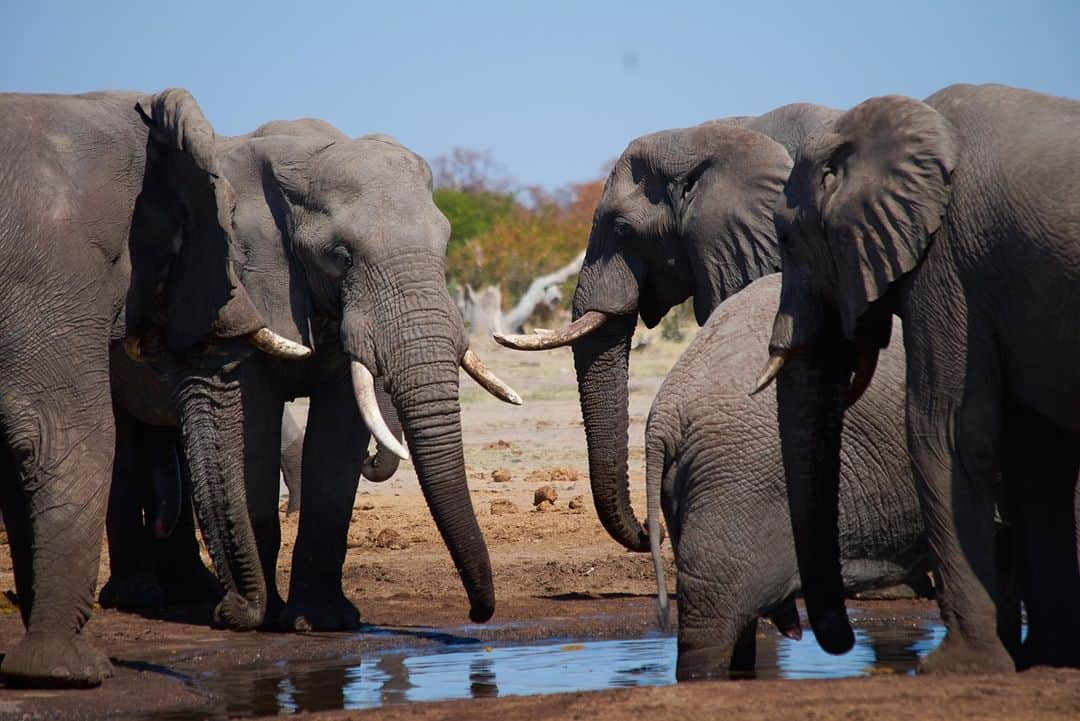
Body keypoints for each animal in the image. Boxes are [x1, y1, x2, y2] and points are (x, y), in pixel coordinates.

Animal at [0, 90, 308, 686]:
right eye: (228, 231)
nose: (231, 615)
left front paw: (45, 669)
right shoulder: (54, 268)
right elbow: (70, 435)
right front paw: (65, 672)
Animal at [120, 112, 520, 630]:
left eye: (446, 247)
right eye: (341, 257)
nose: (477, 614)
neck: (302, 156)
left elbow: (338, 433)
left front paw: (323, 622)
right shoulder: (249, 284)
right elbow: (255, 426)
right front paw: (269, 618)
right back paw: (144, 598)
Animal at [751, 85, 1080, 677]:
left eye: (785, 238)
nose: (832, 639)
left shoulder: (947, 262)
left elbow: (946, 431)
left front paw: (957, 666)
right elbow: (1036, 457)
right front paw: (1047, 660)